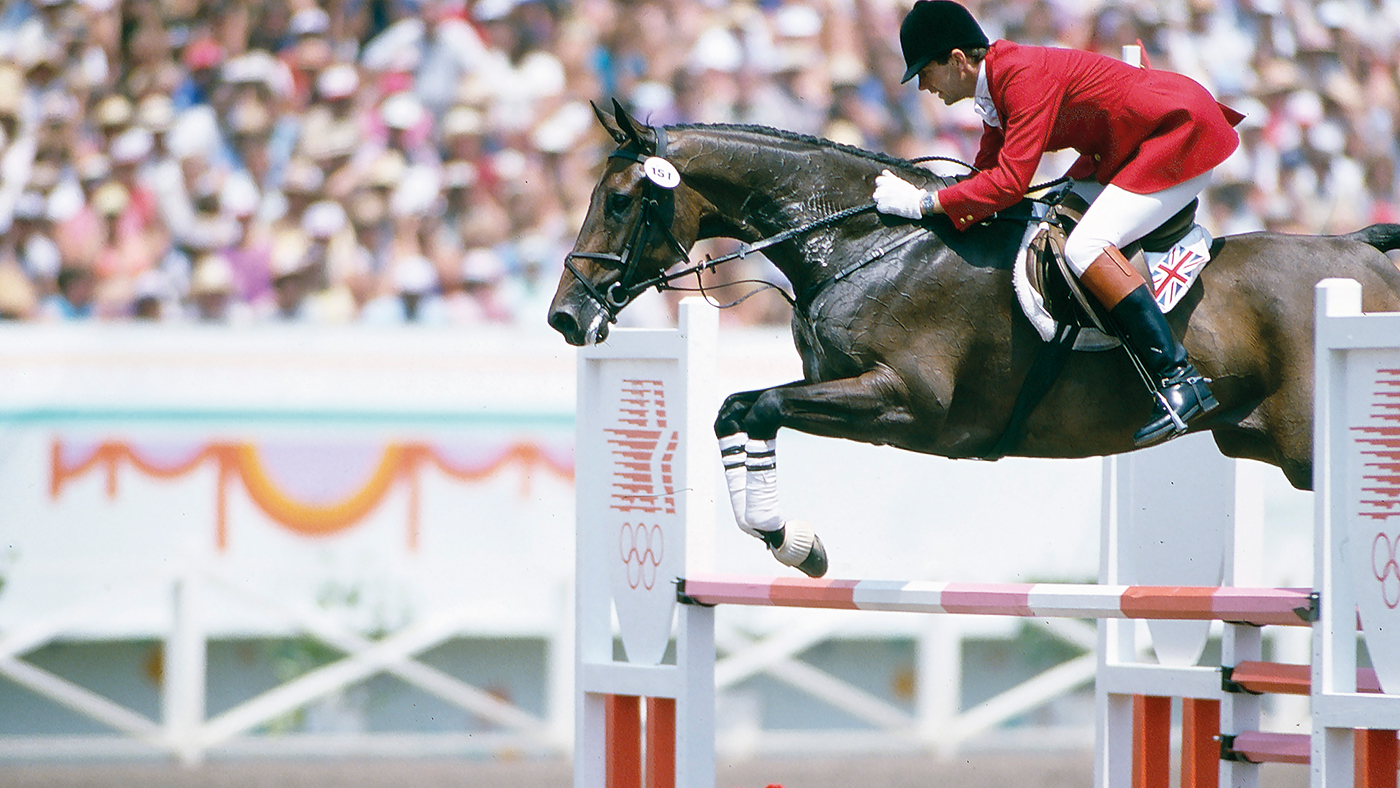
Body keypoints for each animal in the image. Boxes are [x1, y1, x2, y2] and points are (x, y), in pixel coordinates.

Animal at [548, 101, 1400, 576]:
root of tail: (1360, 249)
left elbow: (755, 407)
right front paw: (793, 540)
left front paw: (790, 540)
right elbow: (736, 408)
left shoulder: (907, 405)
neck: (858, 242)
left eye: (619, 201)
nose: (565, 316)